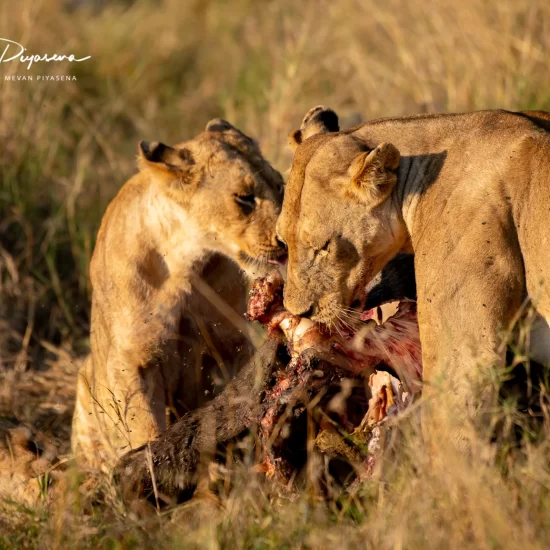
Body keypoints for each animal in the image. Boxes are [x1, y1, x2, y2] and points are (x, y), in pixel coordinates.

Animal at [71, 119, 286, 470]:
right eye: (244, 199)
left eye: (280, 186)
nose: (288, 238)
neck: (186, 262)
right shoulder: (132, 362)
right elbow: (145, 429)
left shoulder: (229, 343)